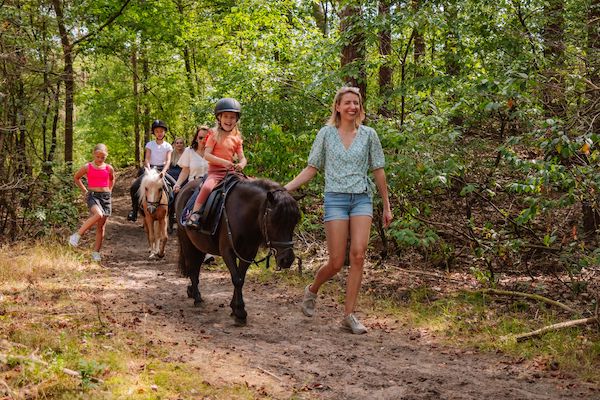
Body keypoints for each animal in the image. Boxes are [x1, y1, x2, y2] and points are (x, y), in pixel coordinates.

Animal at [176, 175, 302, 324]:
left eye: (295, 221)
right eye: (274, 220)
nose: (287, 259)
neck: (243, 214)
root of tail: (184, 188)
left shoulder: (248, 253)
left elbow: (241, 278)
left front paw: (234, 308)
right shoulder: (227, 251)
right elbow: (237, 279)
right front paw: (240, 312)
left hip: (199, 245)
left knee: (196, 266)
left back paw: (192, 291)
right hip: (186, 240)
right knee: (191, 266)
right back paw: (197, 297)